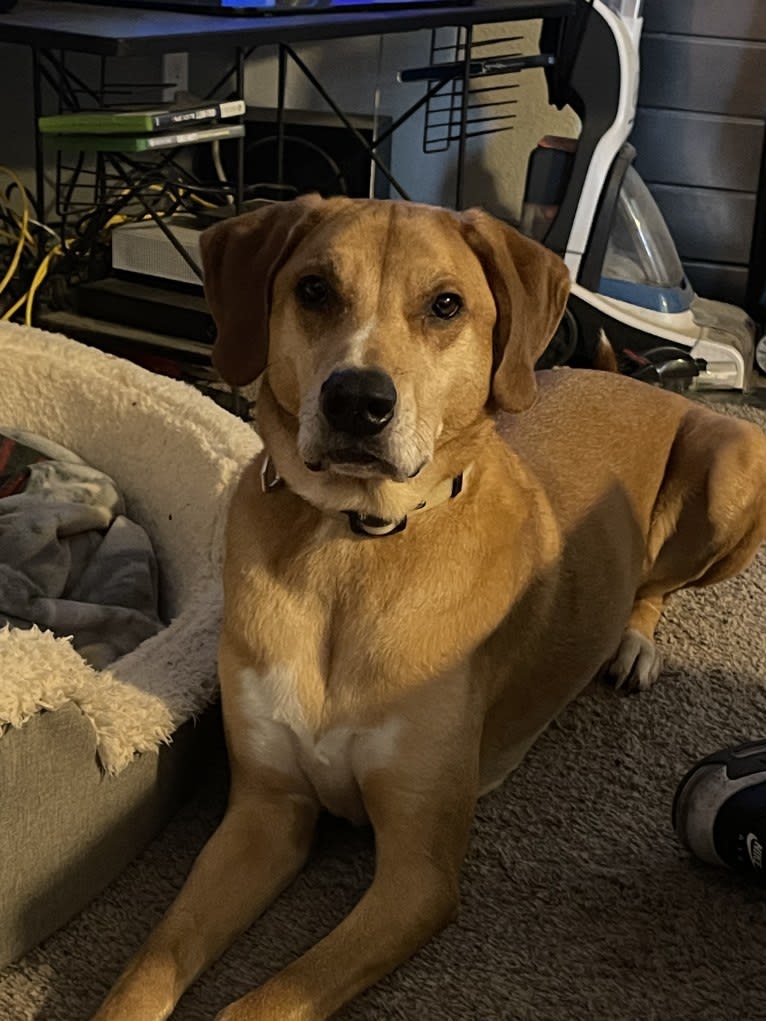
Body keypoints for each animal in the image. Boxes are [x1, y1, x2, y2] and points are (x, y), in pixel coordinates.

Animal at [92, 197, 766, 1021]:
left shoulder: (418, 873)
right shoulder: (265, 812)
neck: (354, 545)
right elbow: (151, 961)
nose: (357, 399)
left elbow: (266, 1001)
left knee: (655, 584)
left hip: (737, 458)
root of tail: (638, 381)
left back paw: (634, 644)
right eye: (314, 290)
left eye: (446, 305)